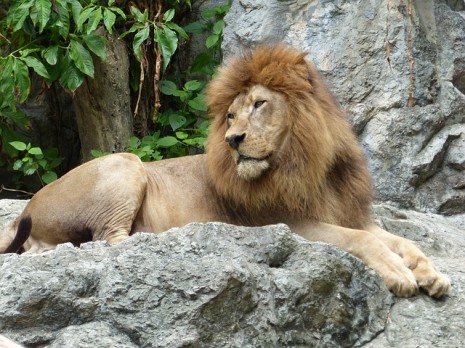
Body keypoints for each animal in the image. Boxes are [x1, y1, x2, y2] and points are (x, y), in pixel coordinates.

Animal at [0, 44, 450, 298]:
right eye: (230, 115)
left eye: (259, 105)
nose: (233, 140)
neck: (309, 163)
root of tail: (25, 211)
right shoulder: (290, 222)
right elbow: (363, 241)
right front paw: (400, 275)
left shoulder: (348, 212)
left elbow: (402, 240)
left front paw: (432, 274)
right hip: (126, 163)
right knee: (108, 241)